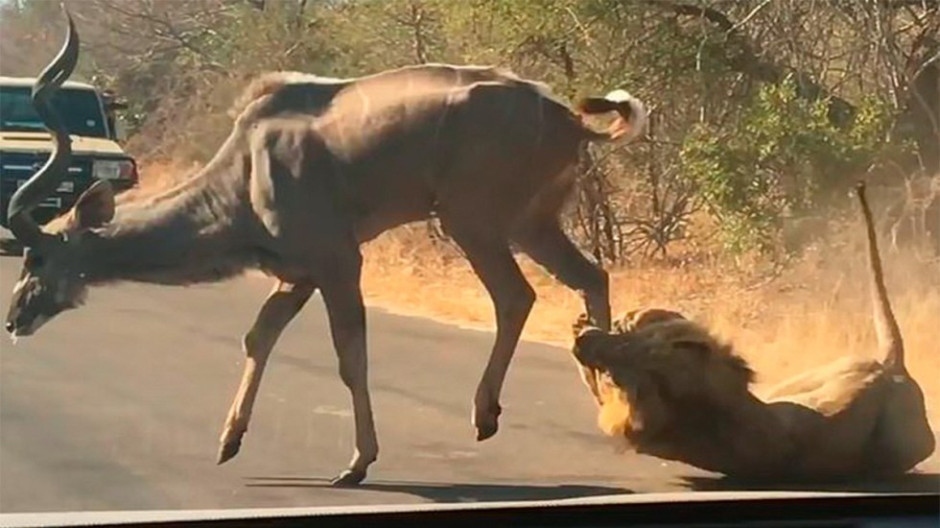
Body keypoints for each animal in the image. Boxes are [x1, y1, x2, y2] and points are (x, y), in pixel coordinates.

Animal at [5, 12, 647, 486]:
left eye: (38, 258)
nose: (14, 320)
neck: (245, 173)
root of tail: (568, 119)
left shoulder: (338, 261)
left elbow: (348, 355)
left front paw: (357, 464)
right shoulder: (298, 272)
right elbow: (259, 335)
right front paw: (228, 442)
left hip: (473, 220)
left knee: (517, 296)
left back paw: (486, 414)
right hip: (530, 223)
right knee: (591, 276)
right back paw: (609, 407)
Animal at [570, 182, 935, 481]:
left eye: (616, 372)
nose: (582, 340)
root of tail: (891, 368)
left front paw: (617, 323)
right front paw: (601, 326)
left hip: (896, 427)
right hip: (815, 378)